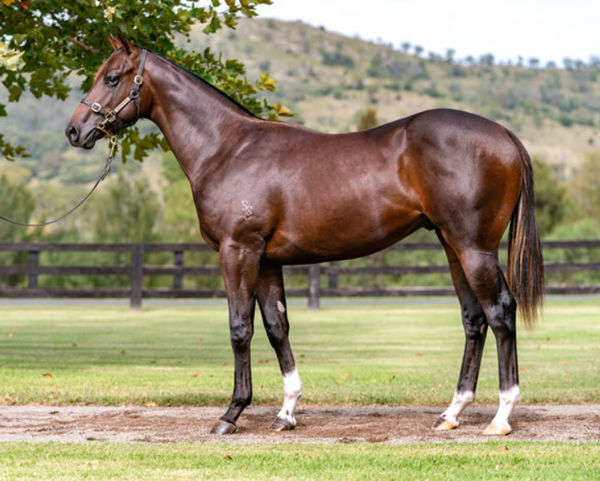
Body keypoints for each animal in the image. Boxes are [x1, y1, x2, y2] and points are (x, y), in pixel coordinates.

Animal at [65, 31, 544, 436]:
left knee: (500, 312)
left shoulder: (238, 250)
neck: (227, 148)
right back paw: (451, 413)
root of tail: (503, 134)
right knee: (474, 318)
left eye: (112, 77)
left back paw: (501, 417)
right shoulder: (266, 260)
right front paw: (287, 412)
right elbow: (277, 327)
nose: (74, 130)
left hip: (474, 247)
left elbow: (239, 327)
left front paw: (231, 414)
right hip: (451, 245)